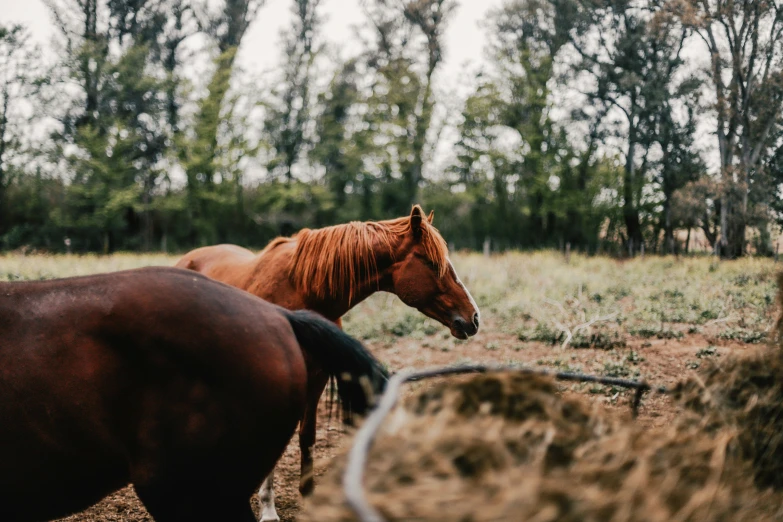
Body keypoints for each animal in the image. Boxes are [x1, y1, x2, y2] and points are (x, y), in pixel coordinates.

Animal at [178, 204, 480, 520]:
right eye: (433, 264)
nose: (474, 318)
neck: (300, 290)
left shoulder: (318, 376)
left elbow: (307, 436)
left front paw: (308, 497)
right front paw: (269, 509)